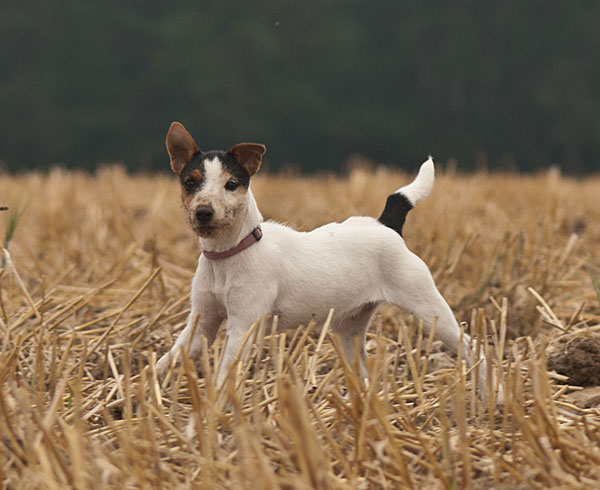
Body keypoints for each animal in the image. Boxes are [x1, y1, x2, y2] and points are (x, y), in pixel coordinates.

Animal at [157, 121, 494, 398]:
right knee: (363, 371)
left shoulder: (243, 327)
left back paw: (492, 396)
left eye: (231, 185)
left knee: (472, 348)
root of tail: (385, 224)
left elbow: (225, 374)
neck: (231, 252)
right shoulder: (202, 322)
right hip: (350, 330)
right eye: (190, 182)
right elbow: (168, 359)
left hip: (430, 309)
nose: (203, 212)